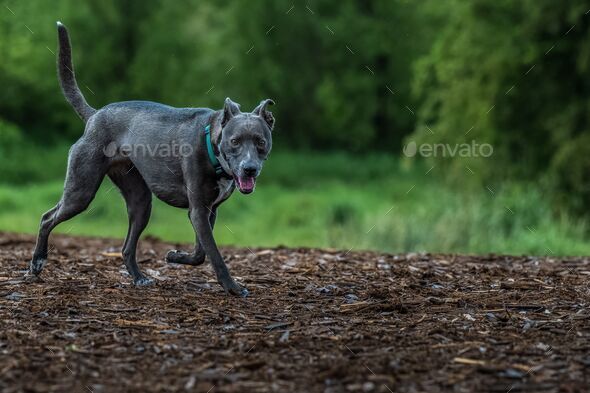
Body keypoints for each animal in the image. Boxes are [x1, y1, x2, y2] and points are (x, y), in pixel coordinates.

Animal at [28, 21, 278, 296]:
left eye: (260, 142)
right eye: (235, 142)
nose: (250, 169)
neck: (212, 145)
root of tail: (94, 115)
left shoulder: (207, 211)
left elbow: (201, 252)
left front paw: (175, 256)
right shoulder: (198, 211)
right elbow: (214, 254)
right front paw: (233, 287)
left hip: (140, 201)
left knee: (127, 247)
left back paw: (139, 278)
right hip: (81, 191)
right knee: (47, 218)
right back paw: (37, 262)